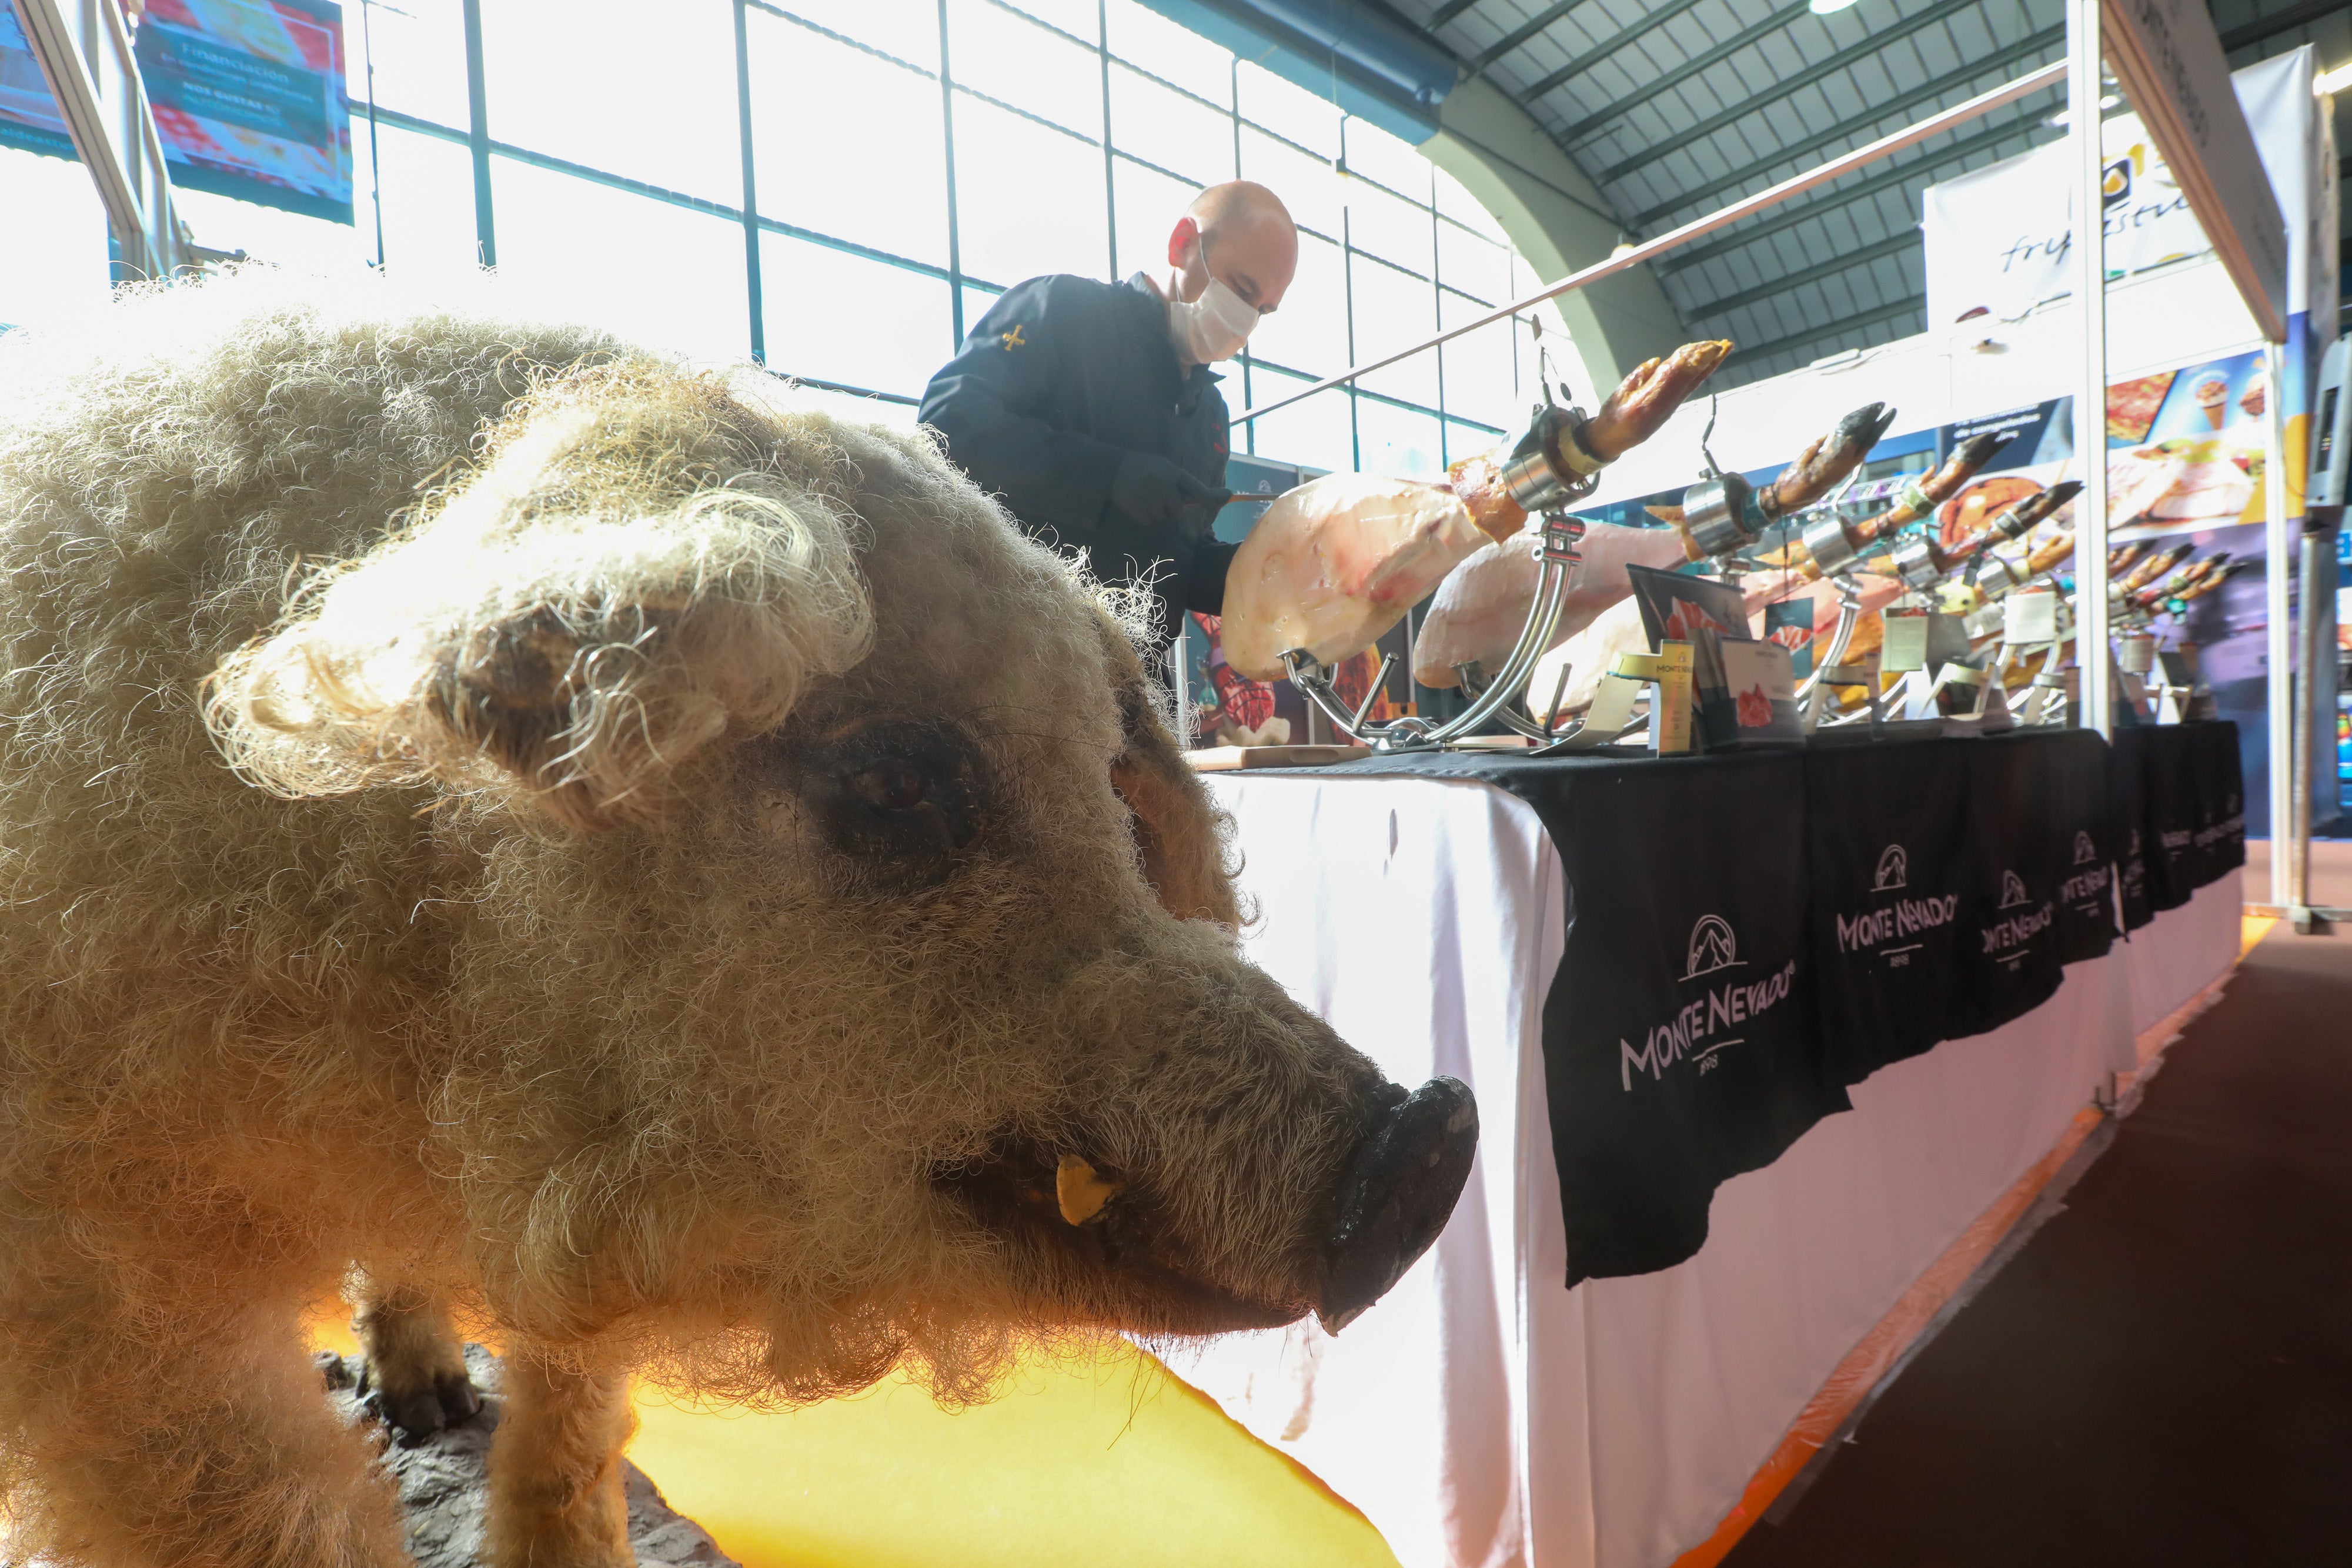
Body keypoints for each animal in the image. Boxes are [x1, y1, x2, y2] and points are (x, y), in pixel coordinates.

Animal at [0, 276, 1468, 1568]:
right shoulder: (96, 1290)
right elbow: (265, 1505)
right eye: (893, 783)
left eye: (1112, 779)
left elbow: (574, 1414)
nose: (1431, 1133)